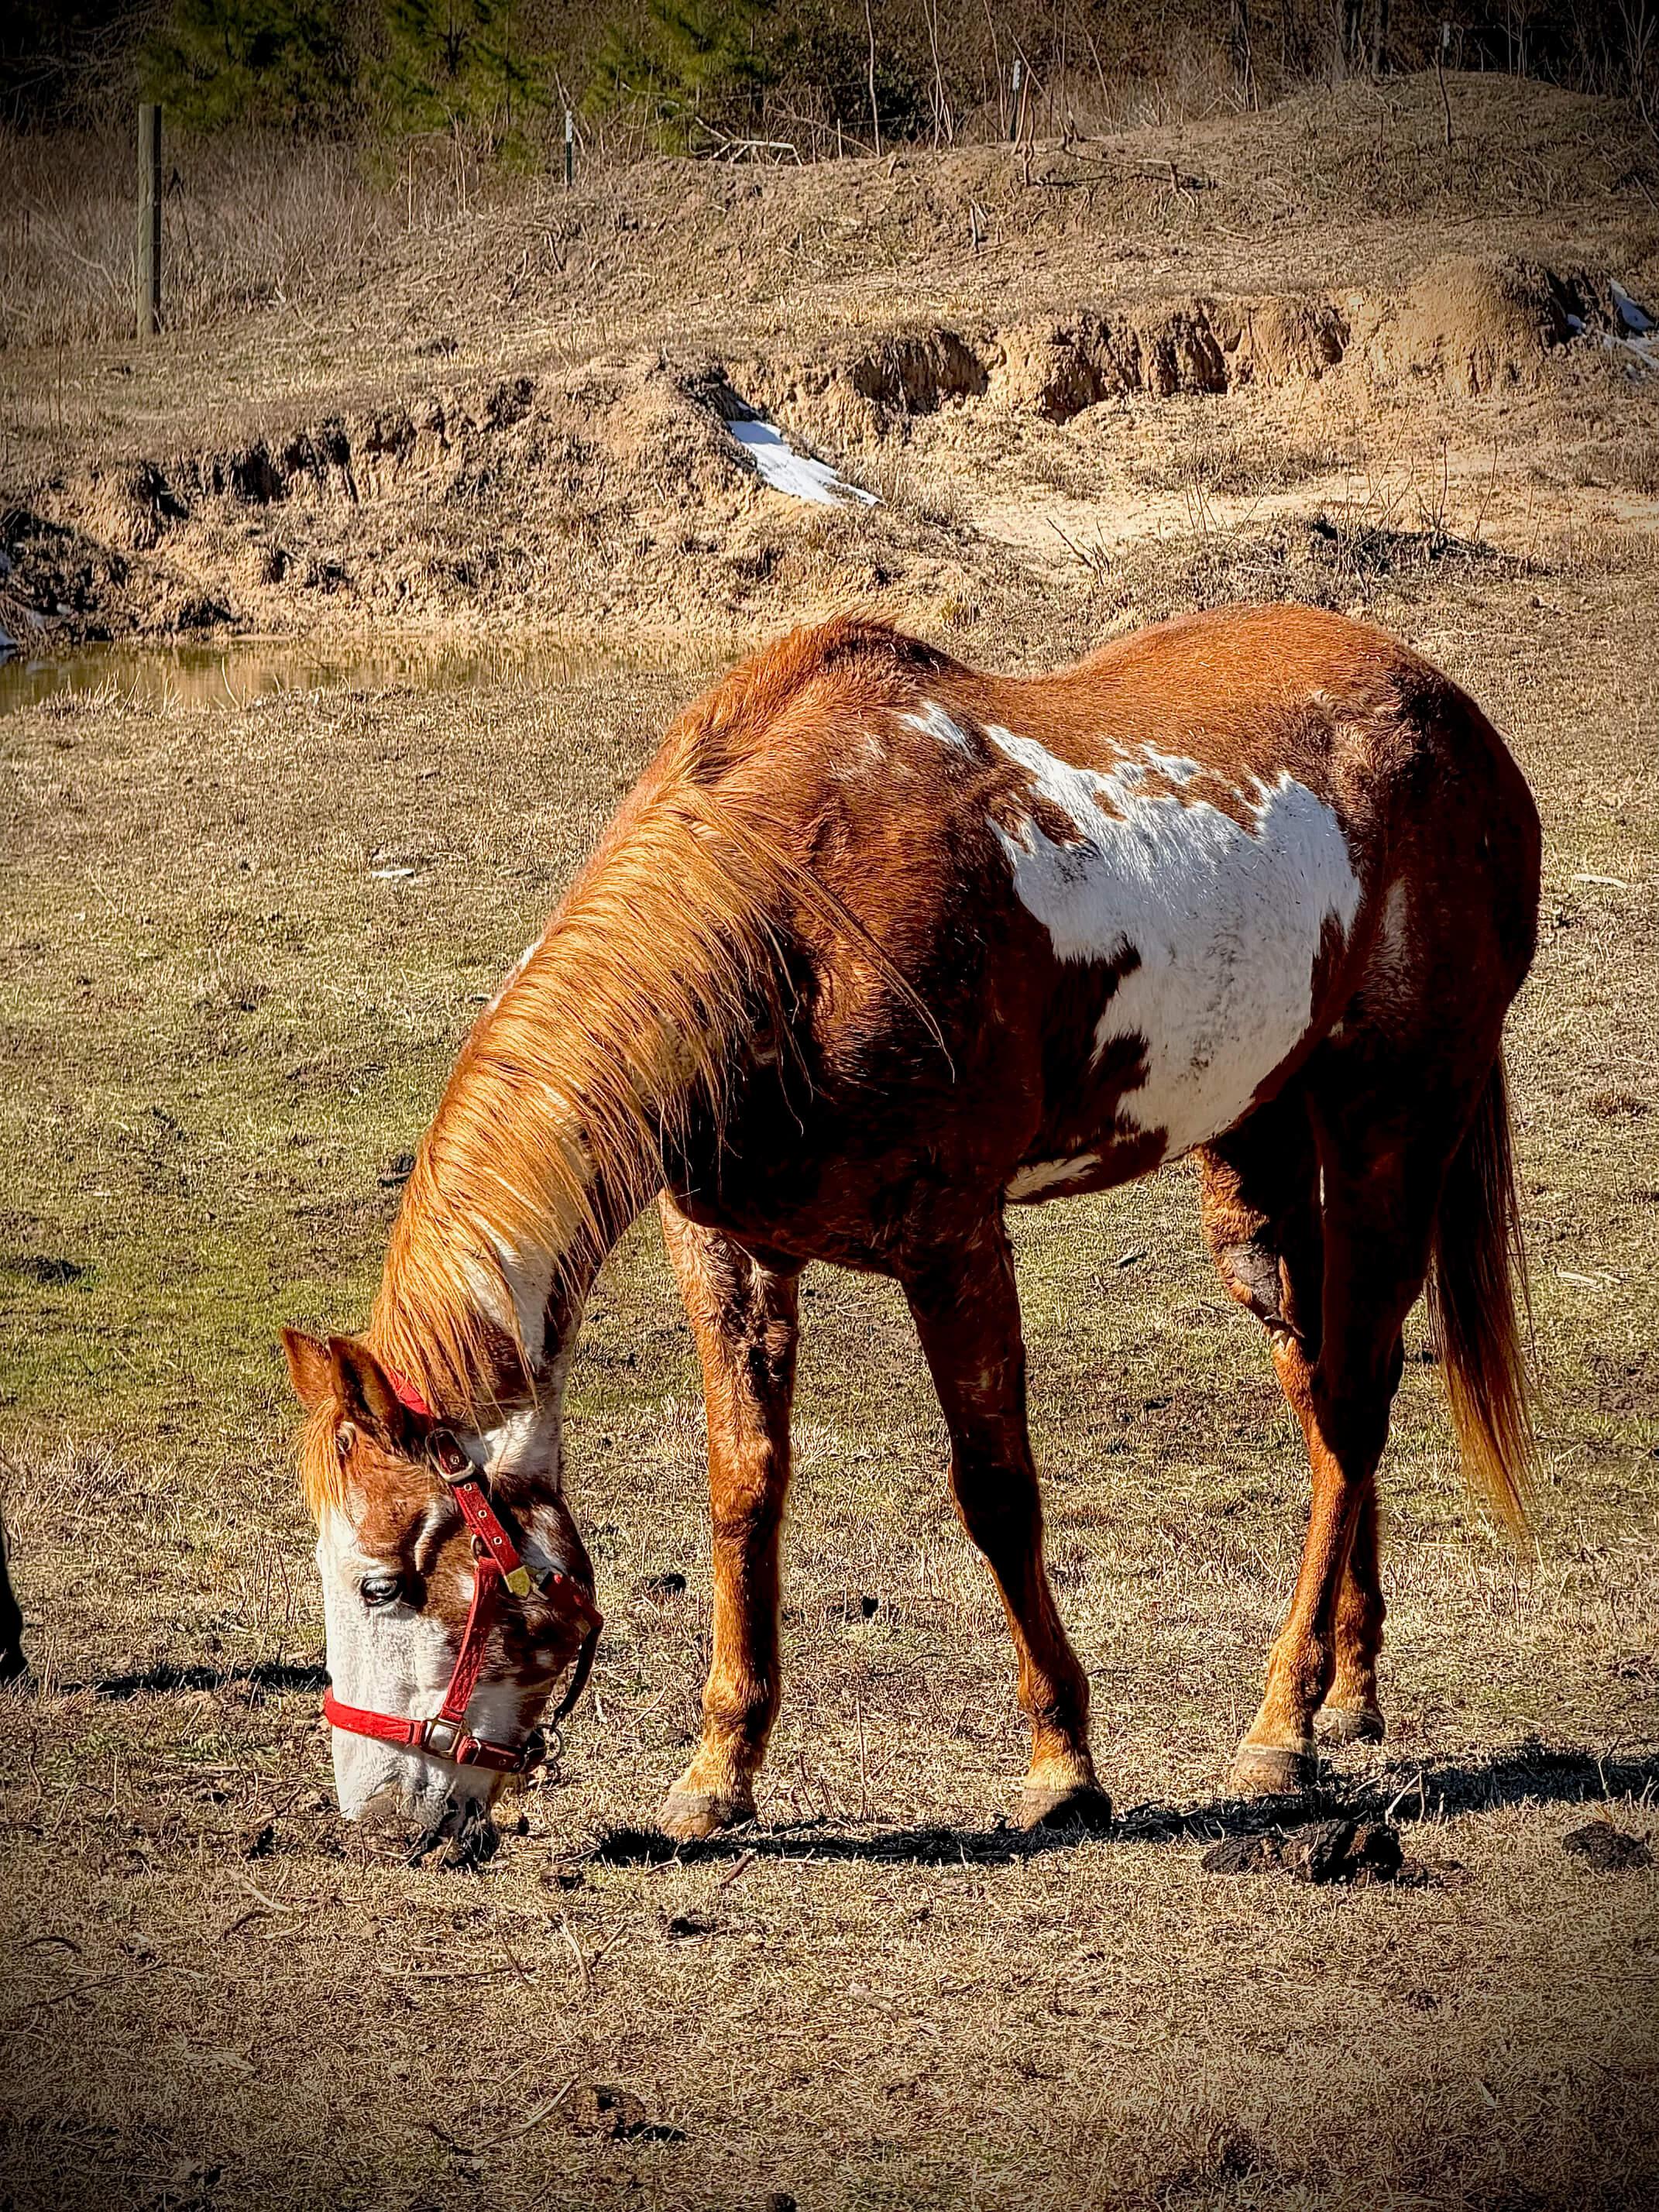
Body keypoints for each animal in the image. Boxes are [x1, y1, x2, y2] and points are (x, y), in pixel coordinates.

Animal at [279, 605, 1540, 1849]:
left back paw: (1280, 1729)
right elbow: (743, 1495)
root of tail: (1451, 712)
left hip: (1393, 1123)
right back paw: (1346, 1692)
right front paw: (717, 1774)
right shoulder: (730, 1250)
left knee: (1353, 1403)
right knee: (1318, 1382)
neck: (789, 929)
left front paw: (1063, 1766)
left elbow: (996, 1491)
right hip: (1260, 1142)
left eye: (387, 1582)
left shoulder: (952, 1243)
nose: (379, 1817)